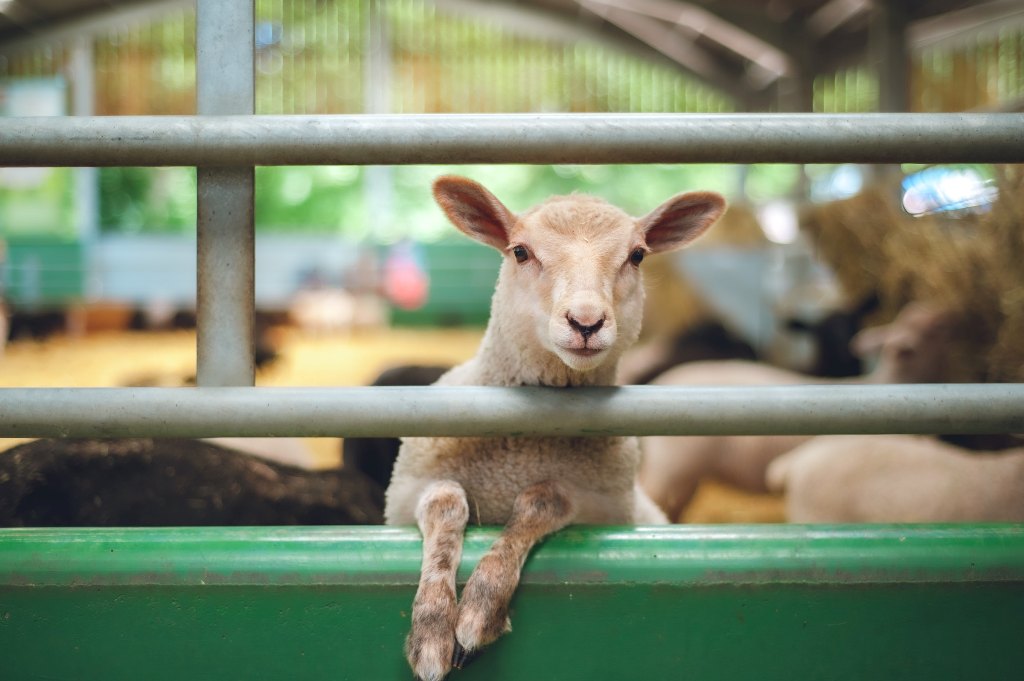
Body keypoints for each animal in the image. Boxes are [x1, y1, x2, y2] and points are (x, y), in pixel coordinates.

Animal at [385, 174, 729, 679]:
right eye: (520, 251)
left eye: (637, 255)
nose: (586, 323)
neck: (521, 450)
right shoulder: (407, 491)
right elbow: (446, 504)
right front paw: (431, 629)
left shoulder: (600, 505)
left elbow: (542, 500)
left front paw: (478, 613)